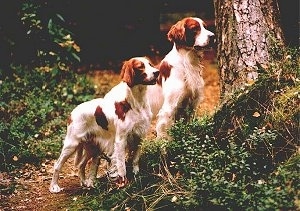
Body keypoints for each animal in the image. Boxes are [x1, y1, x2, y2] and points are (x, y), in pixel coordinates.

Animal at [48, 56, 159, 193]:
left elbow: (135, 159)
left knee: (81, 164)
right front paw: (124, 184)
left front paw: (136, 174)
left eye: (150, 64)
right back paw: (54, 186)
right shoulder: (120, 140)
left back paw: (85, 183)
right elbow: (121, 166)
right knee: (58, 165)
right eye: (140, 67)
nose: (157, 72)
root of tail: (71, 114)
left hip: (92, 148)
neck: (136, 101)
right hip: (72, 144)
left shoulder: (140, 135)